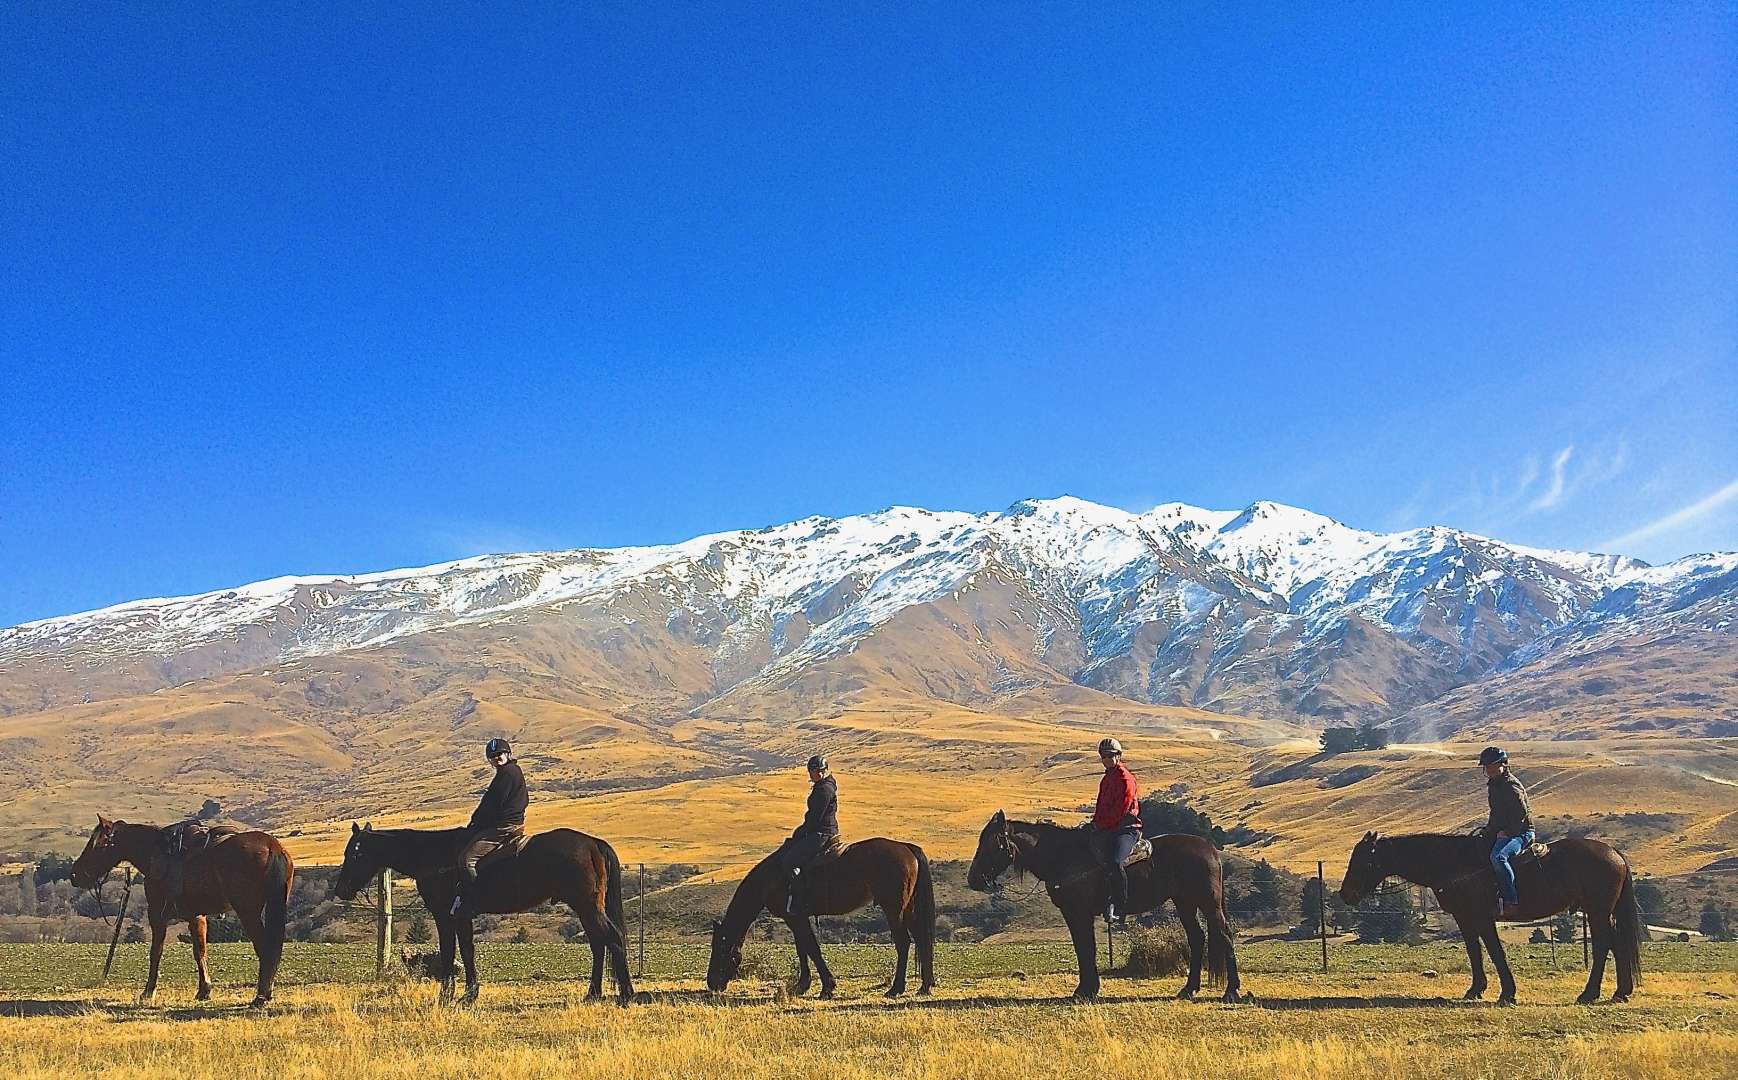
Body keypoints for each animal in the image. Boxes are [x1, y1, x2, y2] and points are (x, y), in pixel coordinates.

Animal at [66, 813, 291, 1008]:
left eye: (100, 844)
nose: (75, 874)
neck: (156, 853)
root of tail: (272, 847)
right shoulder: (196, 916)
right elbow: (200, 952)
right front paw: (204, 990)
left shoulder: (157, 915)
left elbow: (155, 952)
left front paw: (148, 992)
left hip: (248, 912)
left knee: (265, 948)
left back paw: (261, 995)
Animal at [328, 824, 636, 1001]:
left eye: (354, 854)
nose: (341, 889)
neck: (435, 857)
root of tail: (593, 844)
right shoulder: (461, 917)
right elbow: (466, 951)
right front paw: (468, 993)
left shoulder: (446, 915)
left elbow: (451, 952)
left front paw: (449, 996)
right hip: (586, 907)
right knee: (599, 944)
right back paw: (593, 994)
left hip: (586, 905)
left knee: (612, 939)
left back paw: (626, 994)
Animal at [702, 838, 938, 994]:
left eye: (720, 948)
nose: (712, 983)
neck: (769, 880)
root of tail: (907, 848)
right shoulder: (796, 917)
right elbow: (803, 949)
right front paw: (803, 985)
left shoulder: (794, 918)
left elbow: (812, 948)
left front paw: (827, 987)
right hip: (907, 909)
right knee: (921, 939)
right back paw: (925, 985)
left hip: (893, 909)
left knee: (903, 942)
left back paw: (896, 988)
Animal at [966, 806, 1251, 1001]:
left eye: (992, 843)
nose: (973, 879)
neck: (1064, 857)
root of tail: (1210, 848)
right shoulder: (1074, 914)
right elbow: (1083, 949)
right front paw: (1086, 989)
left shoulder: (1079, 913)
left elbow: (1086, 949)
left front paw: (1085, 991)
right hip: (1185, 903)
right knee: (1197, 938)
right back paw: (1188, 989)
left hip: (1208, 903)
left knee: (1224, 935)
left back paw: (1231, 991)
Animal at [1334, 834, 1633, 1001]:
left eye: (1363, 861)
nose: (1345, 894)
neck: (1455, 865)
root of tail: (1615, 854)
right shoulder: (1465, 918)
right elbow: (1475, 951)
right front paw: (1477, 989)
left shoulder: (1480, 916)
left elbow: (1493, 951)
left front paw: (1507, 993)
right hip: (1601, 912)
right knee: (1616, 944)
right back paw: (1621, 992)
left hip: (1597, 910)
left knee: (1604, 944)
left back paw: (1589, 993)